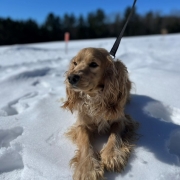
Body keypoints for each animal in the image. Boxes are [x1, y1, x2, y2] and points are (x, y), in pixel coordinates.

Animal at [62, 47, 138, 179]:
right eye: (75, 63)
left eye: (93, 64)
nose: (71, 78)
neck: (94, 97)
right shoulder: (81, 124)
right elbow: (85, 142)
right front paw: (87, 168)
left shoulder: (120, 119)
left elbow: (114, 135)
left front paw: (111, 155)